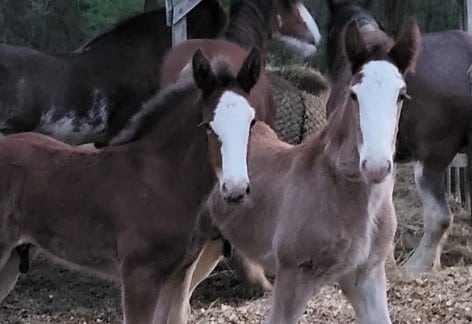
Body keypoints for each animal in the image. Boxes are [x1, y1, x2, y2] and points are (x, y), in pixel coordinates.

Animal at [0, 48, 262, 324]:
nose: (235, 189)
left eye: (252, 122)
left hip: (12, 260)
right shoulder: (139, 275)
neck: (162, 179)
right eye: (208, 125)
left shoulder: (178, 275)